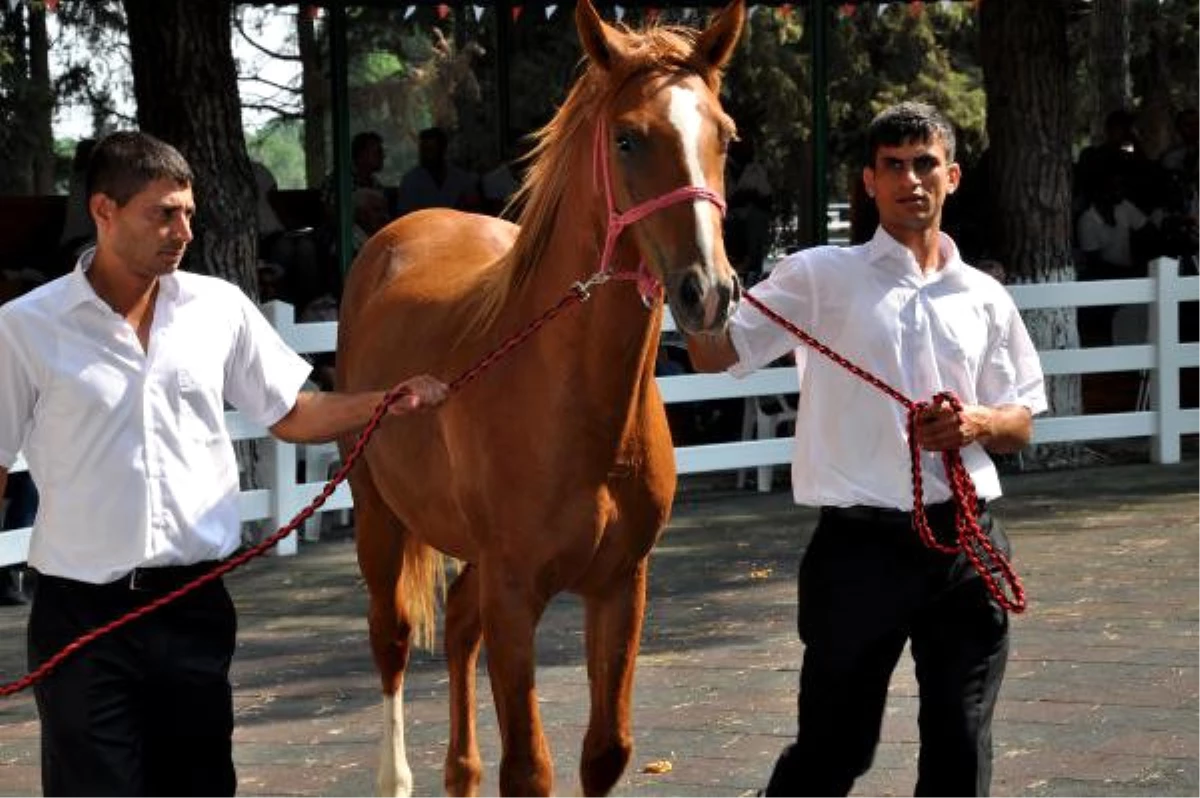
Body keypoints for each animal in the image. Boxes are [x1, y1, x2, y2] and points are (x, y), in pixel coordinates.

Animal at [338, 3, 744, 792]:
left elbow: (605, 752)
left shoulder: (620, 586)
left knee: (457, 628)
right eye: (627, 138)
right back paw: (395, 774)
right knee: (392, 641)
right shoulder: (516, 593)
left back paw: (458, 772)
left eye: (725, 135)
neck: (575, 410)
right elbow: (529, 767)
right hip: (379, 519)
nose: (707, 290)